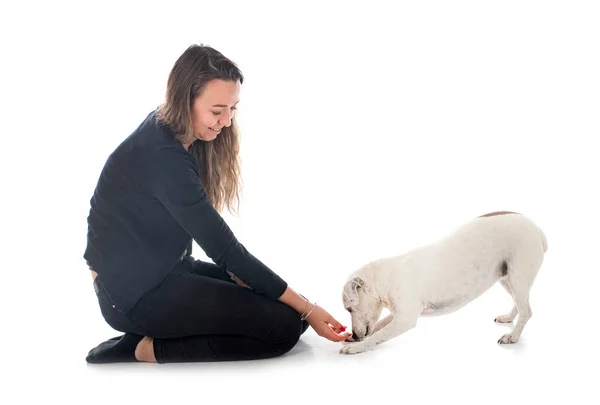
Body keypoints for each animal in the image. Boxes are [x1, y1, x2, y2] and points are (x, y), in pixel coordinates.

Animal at [340, 211, 548, 354]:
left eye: (349, 309)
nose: (354, 335)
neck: (385, 277)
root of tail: (537, 229)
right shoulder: (398, 315)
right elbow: (379, 326)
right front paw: (355, 341)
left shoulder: (405, 319)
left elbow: (378, 336)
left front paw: (356, 347)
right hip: (508, 279)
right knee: (519, 305)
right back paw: (508, 318)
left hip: (517, 277)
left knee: (526, 311)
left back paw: (512, 336)